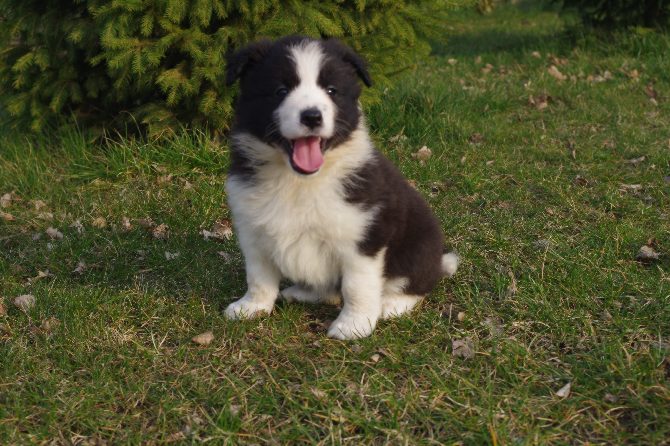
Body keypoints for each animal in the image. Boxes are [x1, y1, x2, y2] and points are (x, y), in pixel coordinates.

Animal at [223, 36, 458, 340]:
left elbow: (357, 286)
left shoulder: (363, 237)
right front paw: (252, 307)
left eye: (332, 90)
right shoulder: (253, 229)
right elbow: (258, 276)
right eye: (280, 90)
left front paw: (353, 325)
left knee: (417, 283)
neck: (299, 181)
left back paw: (391, 303)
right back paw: (302, 292)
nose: (312, 116)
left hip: (418, 244)